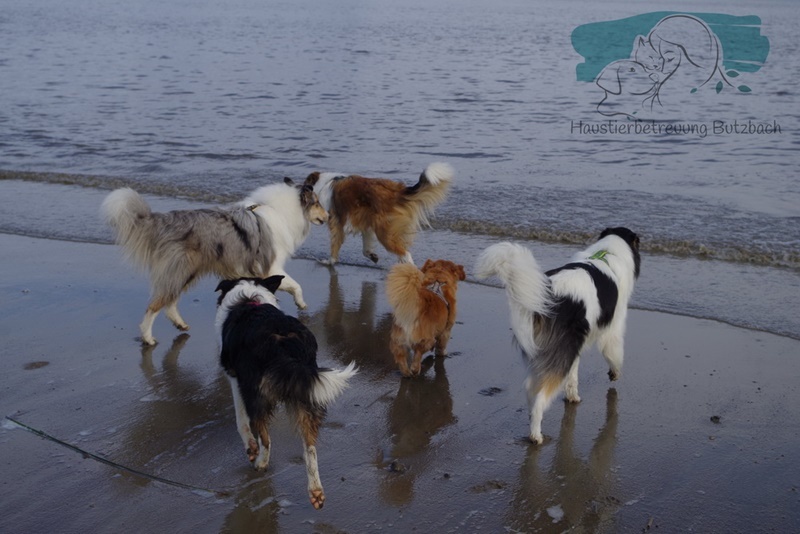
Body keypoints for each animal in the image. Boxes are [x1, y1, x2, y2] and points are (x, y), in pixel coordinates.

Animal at [101, 179, 327, 345]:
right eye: (317, 203)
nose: (327, 216)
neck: (279, 210)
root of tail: (164, 221)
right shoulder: (271, 267)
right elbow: (296, 285)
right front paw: (301, 303)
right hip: (182, 269)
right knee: (156, 305)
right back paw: (148, 338)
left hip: (187, 271)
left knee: (169, 302)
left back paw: (180, 324)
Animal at [215, 276, 357, 510]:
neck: (249, 296)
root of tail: (282, 337)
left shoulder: (236, 379)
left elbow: (241, 421)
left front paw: (251, 448)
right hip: (307, 389)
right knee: (310, 446)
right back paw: (316, 491)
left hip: (258, 392)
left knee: (266, 437)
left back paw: (261, 462)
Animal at [302, 162, 453, 266]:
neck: (323, 184)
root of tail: (398, 192)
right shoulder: (366, 224)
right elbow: (365, 247)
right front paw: (372, 255)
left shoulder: (336, 222)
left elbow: (335, 244)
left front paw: (329, 261)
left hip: (385, 232)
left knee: (406, 253)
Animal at [475, 228, 640, 444]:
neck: (607, 253)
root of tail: (548, 294)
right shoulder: (613, 328)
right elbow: (615, 354)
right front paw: (615, 373)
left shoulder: (574, 347)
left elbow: (573, 376)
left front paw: (572, 396)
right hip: (561, 352)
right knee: (540, 399)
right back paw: (536, 435)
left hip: (552, 350)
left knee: (530, 389)